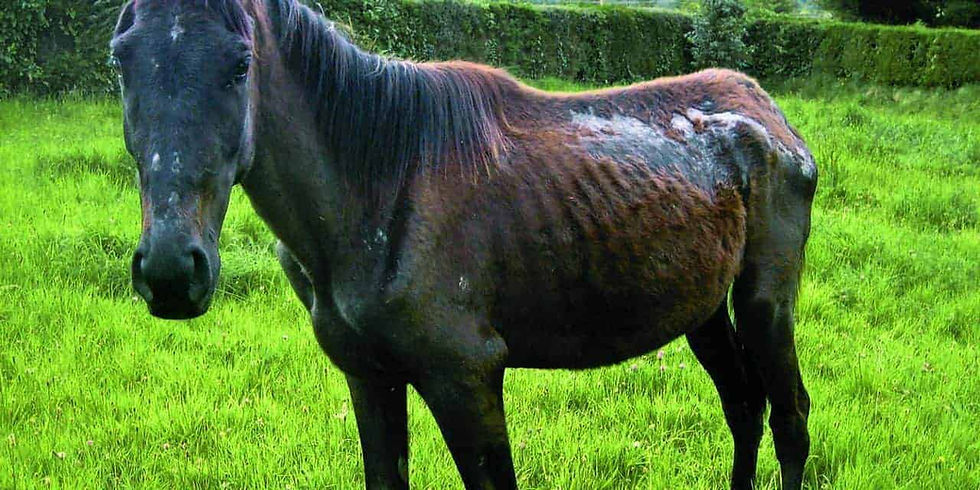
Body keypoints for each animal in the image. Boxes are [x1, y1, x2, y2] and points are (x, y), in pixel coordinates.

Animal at [111, 0, 816, 488]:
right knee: (744, 406)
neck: (375, 191)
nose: (171, 271)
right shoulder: (368, 378)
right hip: (704, 310)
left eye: (241, 63)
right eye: (121, 60)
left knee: (790, 419)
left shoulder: (466, 378)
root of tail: (771, 115)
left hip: (763, 304)